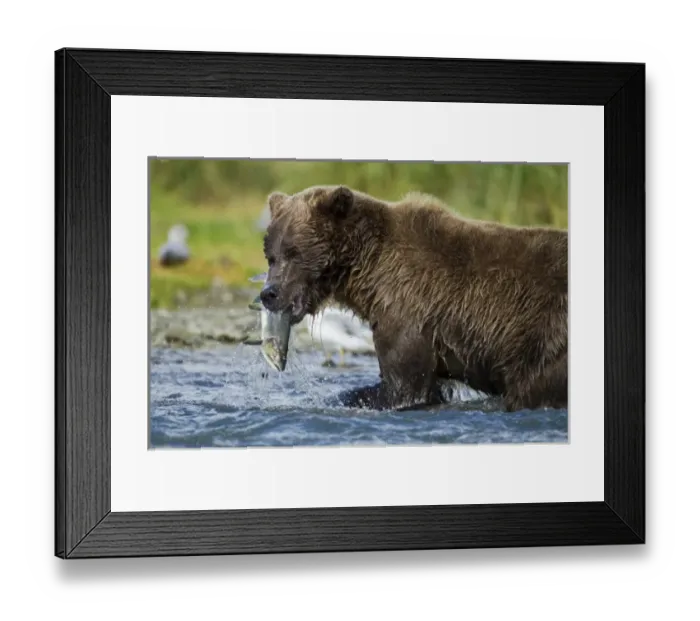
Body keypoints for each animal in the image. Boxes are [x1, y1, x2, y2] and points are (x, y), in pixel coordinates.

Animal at [259, 185, 568, 412]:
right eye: (271, 255)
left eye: (294, 252)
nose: (269, 293)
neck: (368, 271)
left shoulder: (410, 309)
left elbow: (404, 386)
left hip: (543, 341)